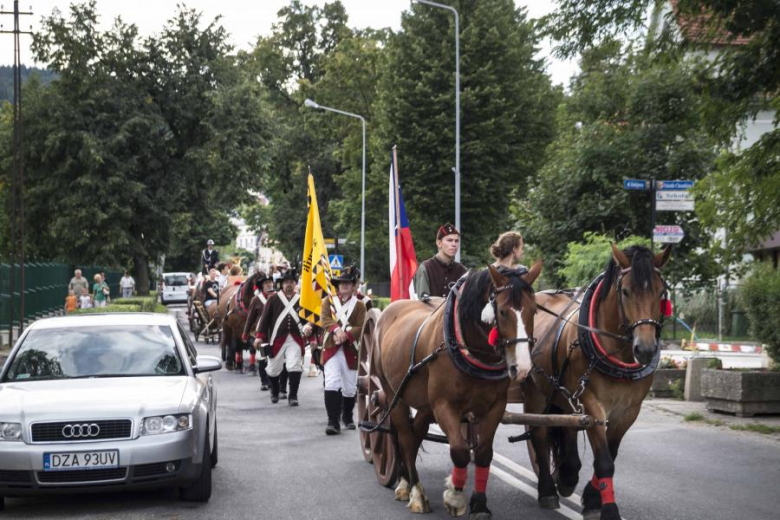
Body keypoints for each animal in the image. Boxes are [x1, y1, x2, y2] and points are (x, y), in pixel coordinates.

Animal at [374, 262, 540, 516]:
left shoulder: (495, 406)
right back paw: (415, 491)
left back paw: (405, 481)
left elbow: (483, 453)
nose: (521, 367)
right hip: (394, 395)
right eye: (503, 311)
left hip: (424, 406)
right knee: (405, 437)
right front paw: (455, 496)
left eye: (534, 310)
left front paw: (479, 503)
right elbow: (460, 451)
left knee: (414, 436)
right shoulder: (444, 405)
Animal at [524, 245, 672, 520]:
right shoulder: (592, 405)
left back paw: (567, 475)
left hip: (563, 396)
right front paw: (609, 509)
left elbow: (610, 455)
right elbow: (604, 462)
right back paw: (548, 488)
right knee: (538, 433)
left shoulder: (628, 411)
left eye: (661, 292)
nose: (646, 350)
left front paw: (592, 498)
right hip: (536, 392)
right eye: (626, 291)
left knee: (567, 428)